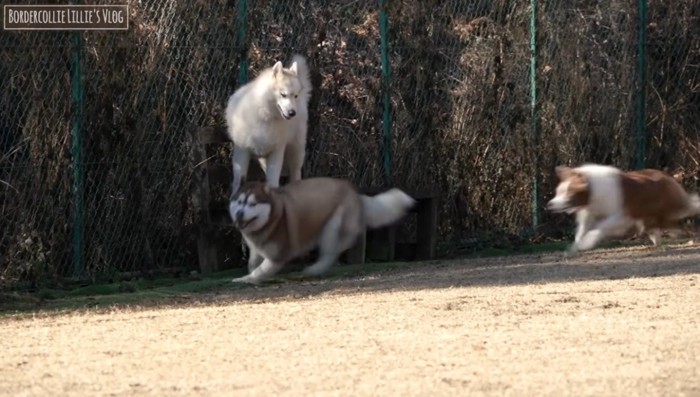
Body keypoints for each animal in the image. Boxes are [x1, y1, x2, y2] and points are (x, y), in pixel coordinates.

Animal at [224, 53, 312, 196]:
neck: (266, 116)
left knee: (295, 173)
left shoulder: (277, 152)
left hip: (296, 150)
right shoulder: (242, 151)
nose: (292, 113)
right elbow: (238, 182)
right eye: (283, 94)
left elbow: (273, 182)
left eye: (295, 96)